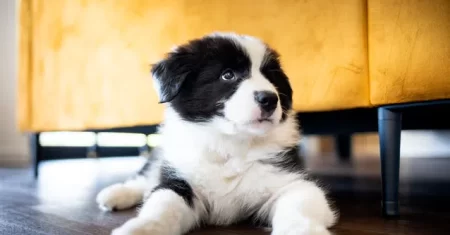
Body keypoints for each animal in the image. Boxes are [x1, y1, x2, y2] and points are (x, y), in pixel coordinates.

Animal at [97, 32, 338, 235]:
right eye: (227, 75)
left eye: (270, 78)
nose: (269, 99)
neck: (229, 143)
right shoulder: (180, 181)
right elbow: (162, 204)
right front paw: (143, 228)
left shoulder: (292, 181)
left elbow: (300, 206)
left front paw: (302, 230)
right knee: (147, 178)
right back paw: (115, 194)